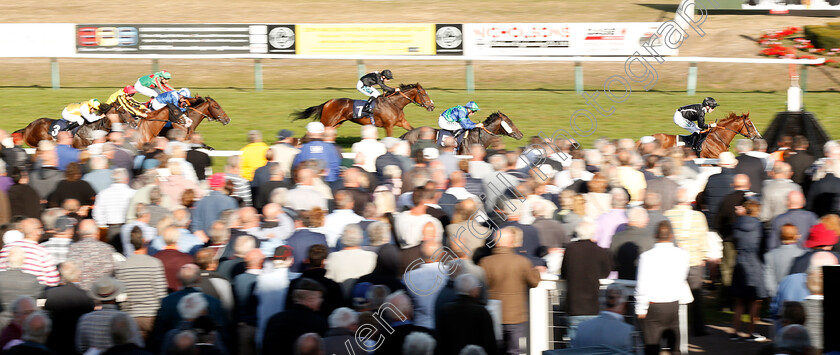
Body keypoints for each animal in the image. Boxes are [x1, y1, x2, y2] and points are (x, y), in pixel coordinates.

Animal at [290, 84, 436, 138]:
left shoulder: (402, 122)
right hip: (327, 122)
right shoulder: (388, 126)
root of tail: (327, 102)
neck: (394, 104)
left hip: (334, 124)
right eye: (424, 94)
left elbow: (413, 129)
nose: (432, 106)